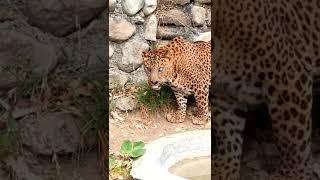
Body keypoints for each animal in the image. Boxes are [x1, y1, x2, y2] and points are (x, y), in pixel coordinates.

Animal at [214, 0, 320, 180]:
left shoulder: (287, 76)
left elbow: (291, 137)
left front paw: (294, 174)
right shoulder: (224, 93)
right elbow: (227, 135)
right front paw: (224, 171)